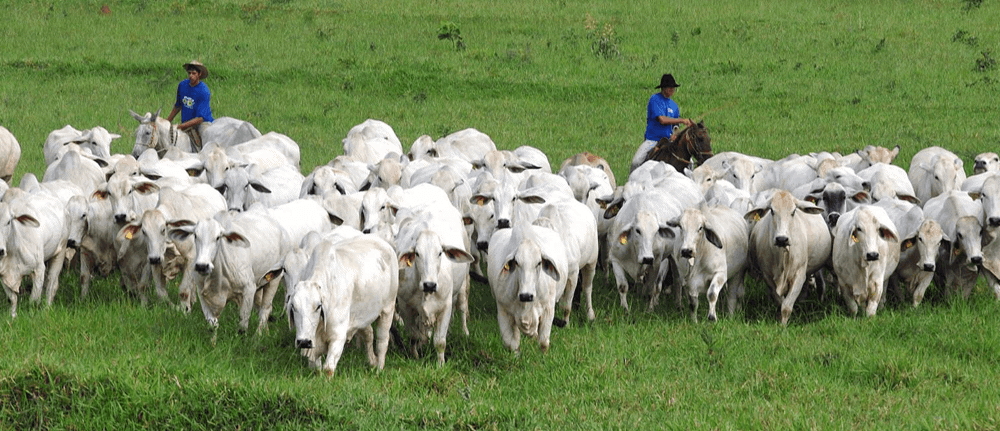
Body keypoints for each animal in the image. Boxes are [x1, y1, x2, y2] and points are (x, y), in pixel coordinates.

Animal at [286, 235, 398, 376]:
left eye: (318, 306)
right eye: (294, 307)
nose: (304, 342)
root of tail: (384, 243)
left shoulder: (338, 336)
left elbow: (328, 369)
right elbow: (316, 367)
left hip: (388, 309)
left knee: (382, 341)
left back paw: (379, 368)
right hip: (361, 317)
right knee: (369, 334)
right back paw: (372, 361)